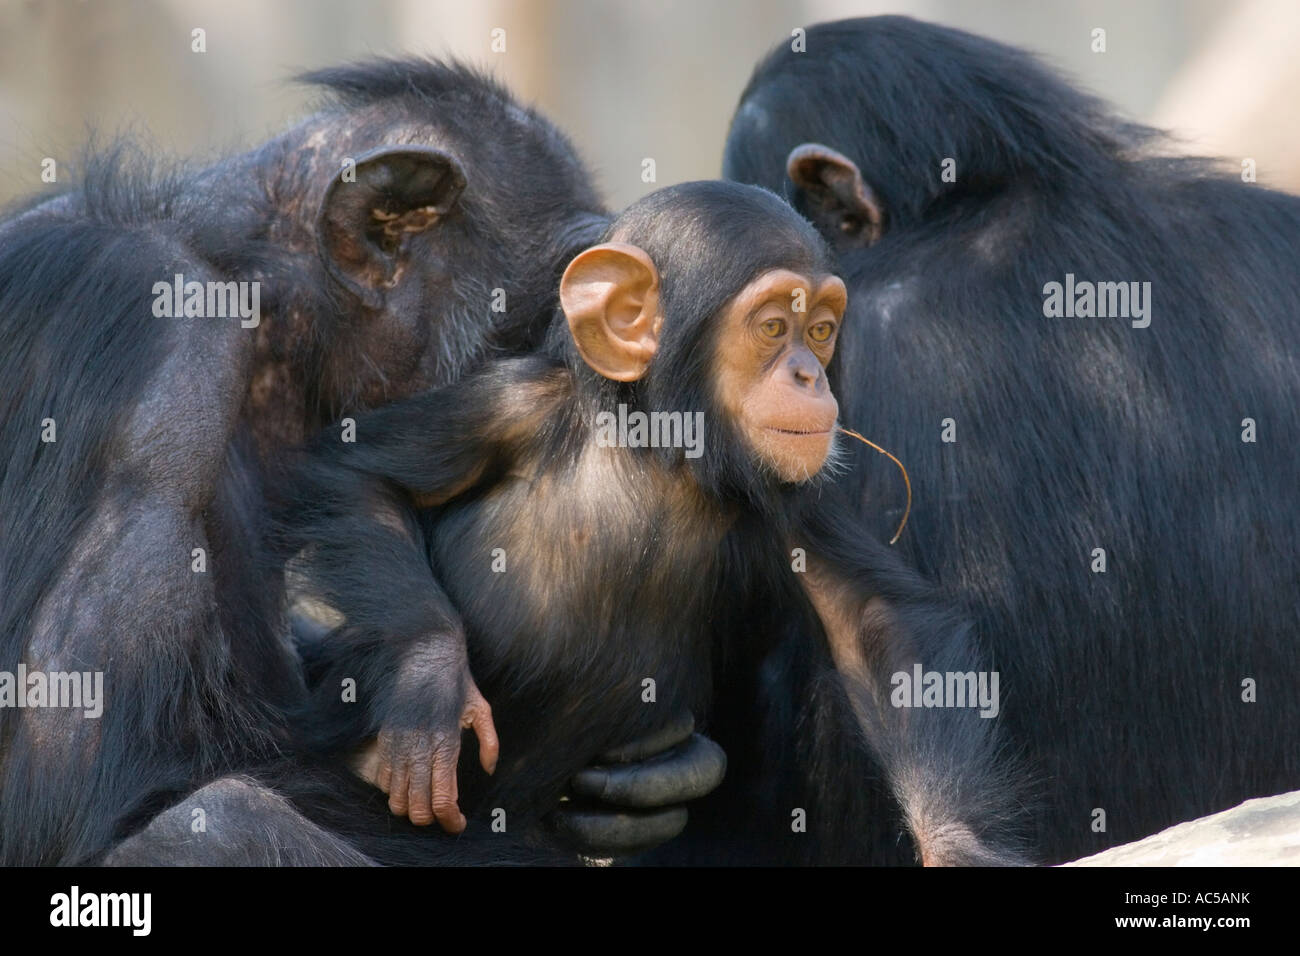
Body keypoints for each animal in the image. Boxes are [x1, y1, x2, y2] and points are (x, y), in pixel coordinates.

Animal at [287, 180, 1024, 868]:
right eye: (772, 327)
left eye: (820, 329)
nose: (809, 376)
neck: (657, 453)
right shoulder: (508, 406)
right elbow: (359, 476)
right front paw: (429, 689)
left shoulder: (793, 496)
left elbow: (877, 621)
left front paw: (958, 844)